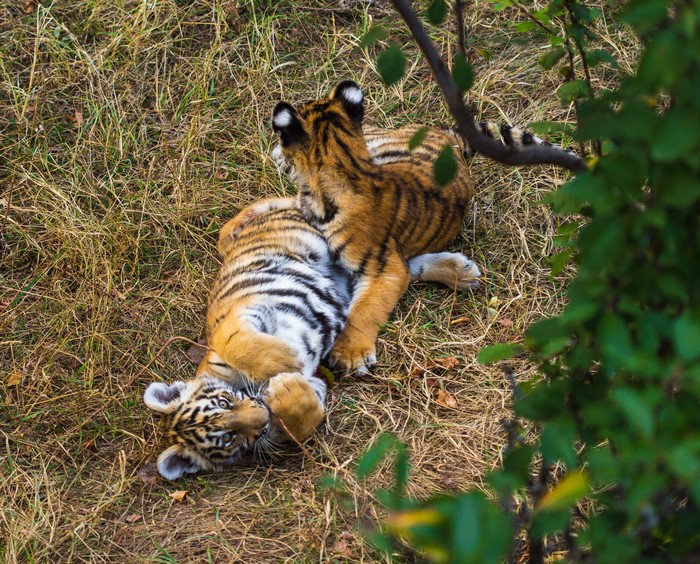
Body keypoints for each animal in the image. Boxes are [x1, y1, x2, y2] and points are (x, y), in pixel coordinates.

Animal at [144, 198, 481, 480]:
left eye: (225, 402)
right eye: (229, 438)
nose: (262, 413)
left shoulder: (237, 318)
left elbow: (240, 346)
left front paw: (286, 364)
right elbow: (303, 421)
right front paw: (289, 389)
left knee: (391, 265)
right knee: (402, 268)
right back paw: (461, 273)